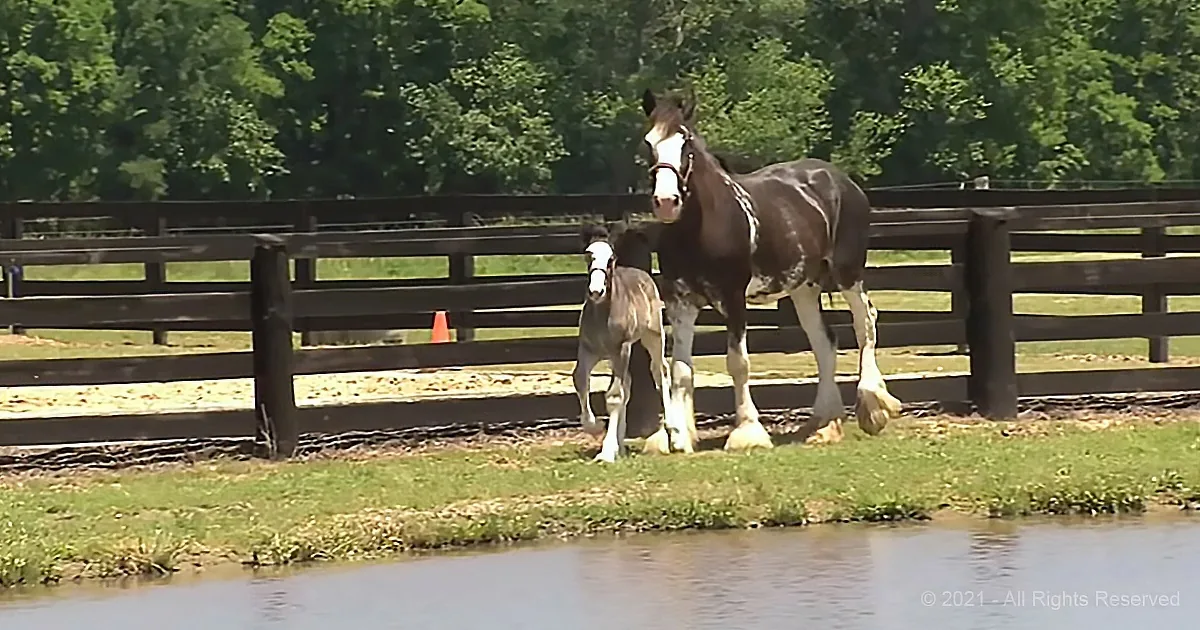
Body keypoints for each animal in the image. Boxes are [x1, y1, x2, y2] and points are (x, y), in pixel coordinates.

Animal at [572, 221, 686, 463]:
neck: (602, 315)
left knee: (660, 371)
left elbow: (615, 396)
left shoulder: (620, 349)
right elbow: (580, 380)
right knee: (628, 384)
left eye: (611, 259)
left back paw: (673, 427)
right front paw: (595, 426)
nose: (596, 291)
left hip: (653, 335)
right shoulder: (588, 350)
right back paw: (620, 444)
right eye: (588, 255)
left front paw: (606, 452)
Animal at [637, 88, 903, 453]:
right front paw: (677, 436)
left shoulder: (734, 298)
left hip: (848, 273)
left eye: (685, 143)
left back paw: (873, 406)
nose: (666, 201)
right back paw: (824, 422)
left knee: (864, 324)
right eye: (649, 143)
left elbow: (738, 364)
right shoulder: (681, 301)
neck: (702, 226)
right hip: (804, 286)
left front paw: (747, 433)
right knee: (824, 340)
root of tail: (840, 181)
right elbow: (680, 370)